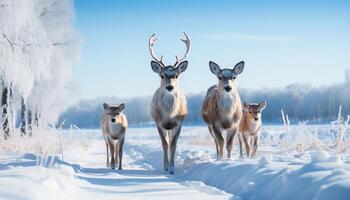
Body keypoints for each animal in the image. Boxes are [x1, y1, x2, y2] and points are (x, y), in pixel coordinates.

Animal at [148, 32, 191, 173]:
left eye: (176, 75)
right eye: (161, 75)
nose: (170, 87)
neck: (169, 114)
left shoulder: (179, 122)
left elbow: (173, 144)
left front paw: (172, 168)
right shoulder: (159, 122)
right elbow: (164, 144)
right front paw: (166, 167)